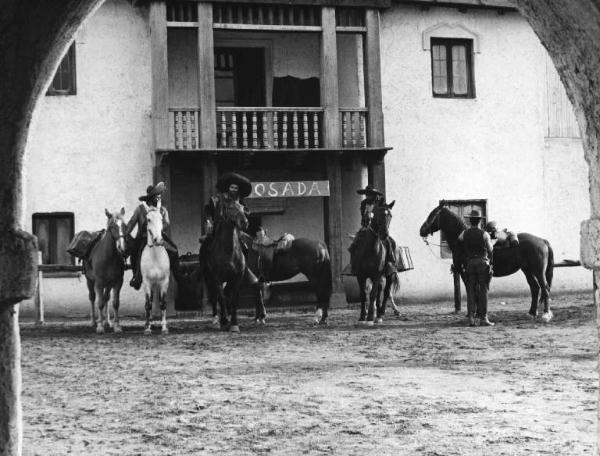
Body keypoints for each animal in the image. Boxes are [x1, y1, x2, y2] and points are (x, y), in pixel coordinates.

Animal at [202, 198, 248, 334]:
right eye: (231, 208)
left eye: (243, 208)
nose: (244, 222)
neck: (229, 251)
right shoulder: (217, 277)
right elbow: (221, 298)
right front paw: (225, 321)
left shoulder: (237, 277)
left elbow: (233, 299)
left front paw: (234, 324)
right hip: (208, 278)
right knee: (215, 296)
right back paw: (217, 320)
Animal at [420, 203, 556, 320]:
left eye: (433, 214)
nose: (421, 230)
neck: (461, 240)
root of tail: (542, 240)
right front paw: (477, 313)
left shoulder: (465, 273)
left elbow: (473, 292)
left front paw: (474, 313)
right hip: (527, 270)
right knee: (535, 288)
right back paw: (531, 313)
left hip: (538, 271)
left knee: (545, 288)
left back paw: (545, 314)